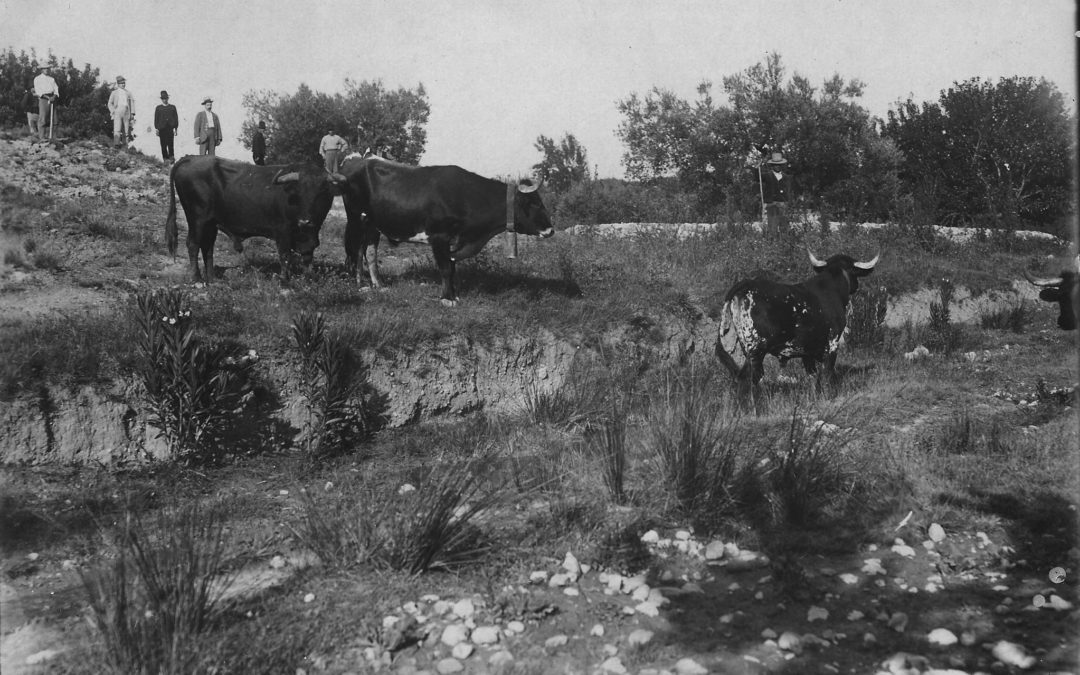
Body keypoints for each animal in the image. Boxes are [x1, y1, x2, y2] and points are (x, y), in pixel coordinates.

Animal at [163, 154, 341, 278]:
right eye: (299, 192)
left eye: (321, 192)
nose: (305, 221)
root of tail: (190, 158)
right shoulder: (282, 232)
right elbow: (285, 256)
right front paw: (285, 280)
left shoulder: (310, 236)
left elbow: (307, 256)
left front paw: (308, 277)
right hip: (197, 220)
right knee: (193, 244)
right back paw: (197, 278)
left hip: (210, 224)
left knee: (207, 248)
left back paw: (212, 278)